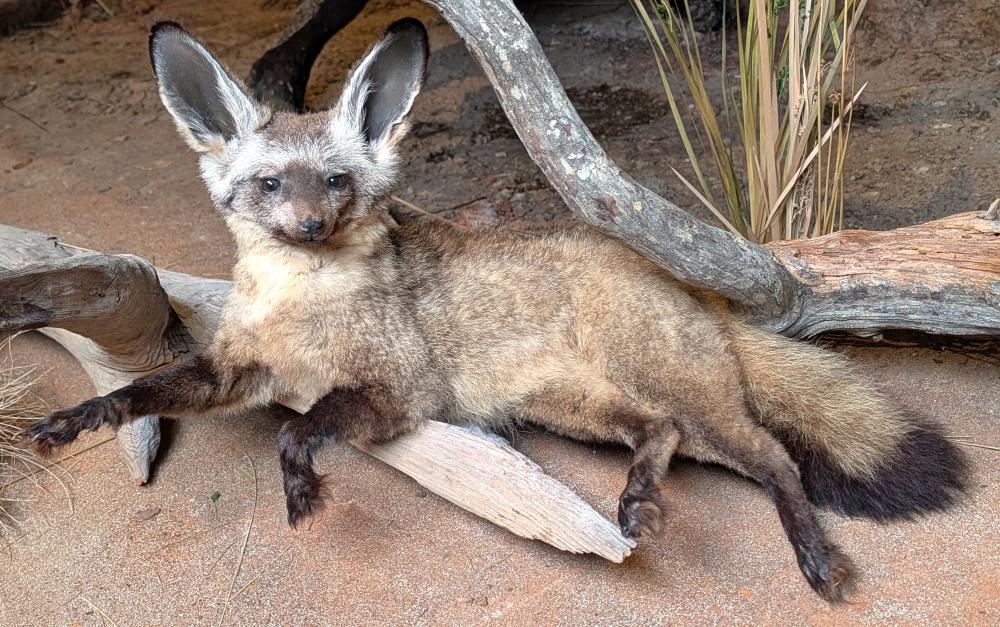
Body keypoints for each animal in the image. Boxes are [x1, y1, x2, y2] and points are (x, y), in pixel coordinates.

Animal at [24, 19, 968, 603]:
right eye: (268, 185)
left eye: (335, 180)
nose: (310, 227)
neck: (301, 309)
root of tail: (674, 280)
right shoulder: (237, 369)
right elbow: (141, 391)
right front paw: (78, 418)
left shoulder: (399, 391)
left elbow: (297, 429)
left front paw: (300, 485)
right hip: (581, 409)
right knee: (662, 434)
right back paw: (636, 500)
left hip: (672, 398)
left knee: (773, 455)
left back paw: (814, 557)